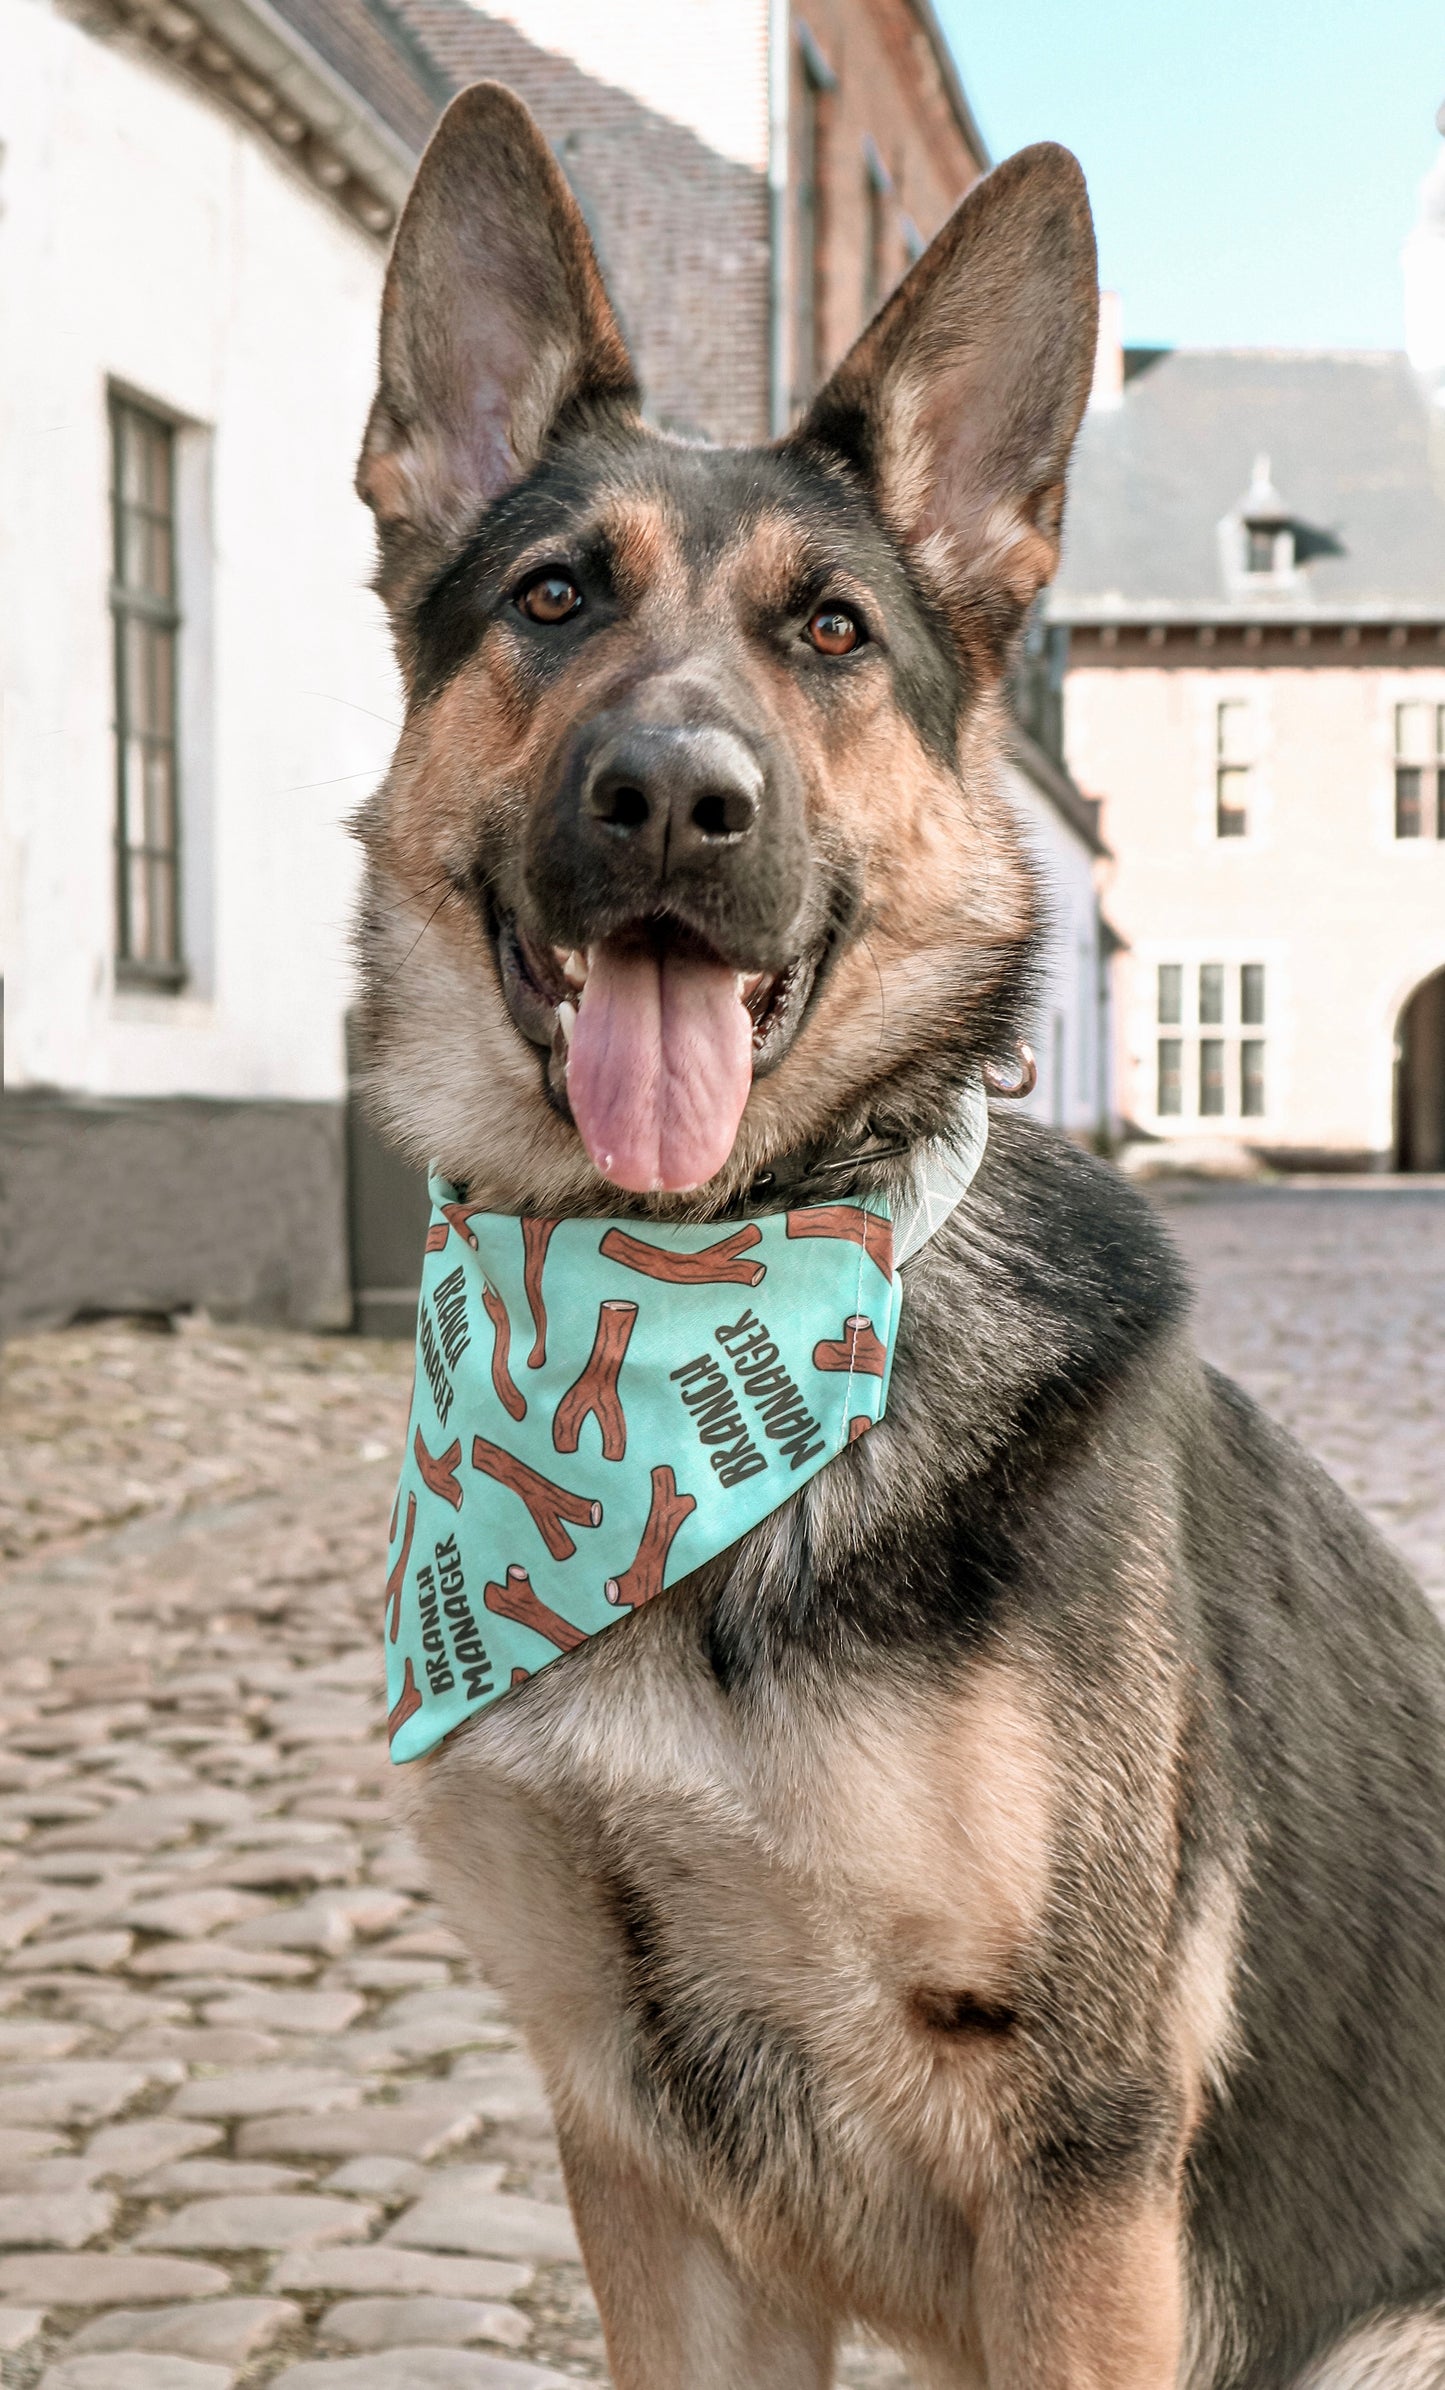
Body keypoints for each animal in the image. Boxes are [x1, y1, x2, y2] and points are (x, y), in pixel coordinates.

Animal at [355, 84, 1442, 2380]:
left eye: (832, 633)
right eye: (553, 597)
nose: (675, 799)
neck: (694, 1313)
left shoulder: (1080, 2181)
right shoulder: (646, 2170)